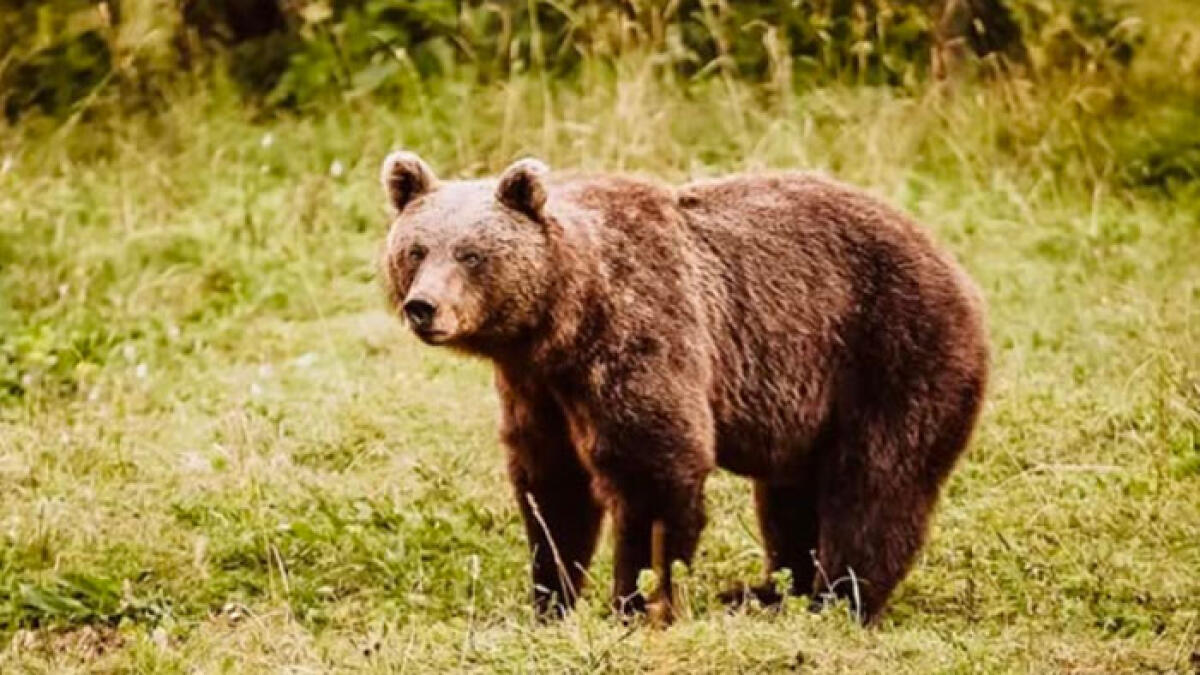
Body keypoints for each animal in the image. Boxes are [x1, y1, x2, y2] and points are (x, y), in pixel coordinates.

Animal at [378, 152, 989, 625]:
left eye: (471, 254)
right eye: (416, 250)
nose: (423, 307)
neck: (562, 321)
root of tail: (952, 264)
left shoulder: (640, 335)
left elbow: (654, 475)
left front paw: (634, 602)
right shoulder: (537, 389)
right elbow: (553, 490)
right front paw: (550, 601)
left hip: (891, 351)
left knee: (876, 484)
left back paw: (836, 600)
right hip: (809, 403)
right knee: (789, 499)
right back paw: (766, 592)